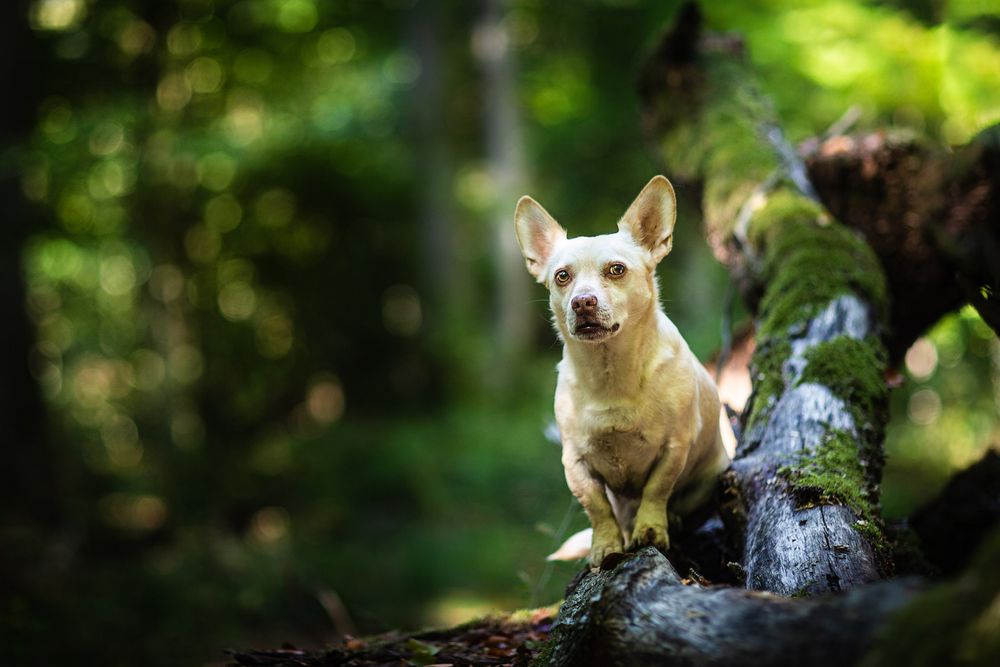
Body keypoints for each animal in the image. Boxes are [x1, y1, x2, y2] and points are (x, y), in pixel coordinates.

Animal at [516, 174, 728, 568]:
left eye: (616, 269)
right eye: (562, 277)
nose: (583, 302)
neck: (610, 370)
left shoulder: (673, 449)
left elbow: (657, 489)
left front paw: (651, 530)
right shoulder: (576, 463)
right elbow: (597, 508)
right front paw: (605, 546)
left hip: (710, 478)